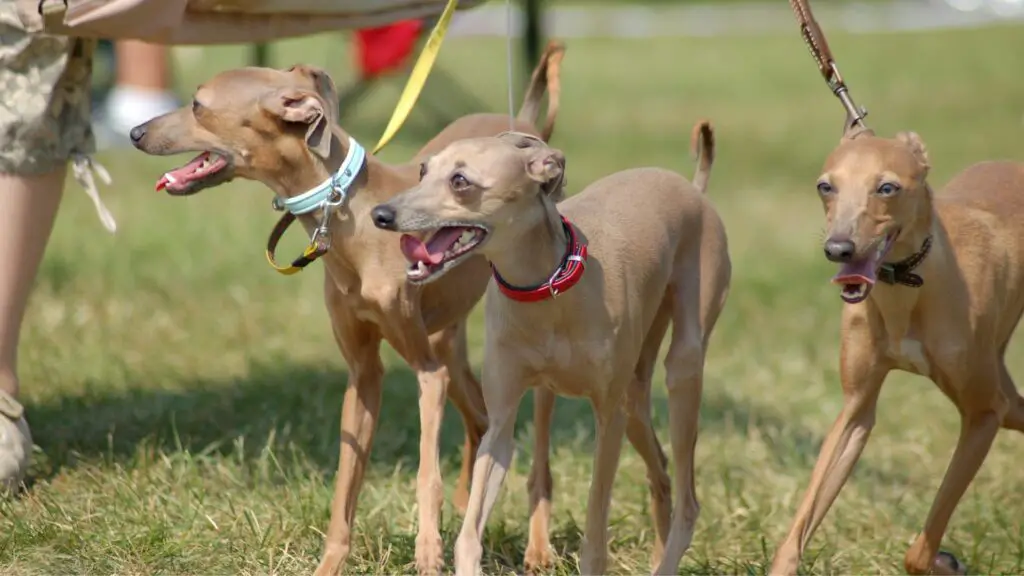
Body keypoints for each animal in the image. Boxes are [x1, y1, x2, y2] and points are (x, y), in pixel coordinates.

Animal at [129, 41, 569, 573]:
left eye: (197, 105)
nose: (134, 132)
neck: (352, 215)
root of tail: (523, 123)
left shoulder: (426, 372)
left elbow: (426, 474)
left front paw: (428, 552)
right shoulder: (363, 374)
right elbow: (345, 487)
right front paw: (331, 564)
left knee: (536, 453)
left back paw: (539, 549)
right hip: (451, 342)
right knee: (481, 419)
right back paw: (474, 504)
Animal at [372, 123, 733, 569]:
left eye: (460, 181)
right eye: (423, 170)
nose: (381, 214)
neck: (547, 287)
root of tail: (693, 189)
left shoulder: (608, 417)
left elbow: (595, 531)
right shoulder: (501, 421)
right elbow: (469, 532)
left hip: (681, 370)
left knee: (688, 499)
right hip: (631, 396)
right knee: (660, 470)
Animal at [770, 123, 1024, 569]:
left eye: (886, 187)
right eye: (825, 186)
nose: (838, 249)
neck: (911, 287)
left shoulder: (983, 414)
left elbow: (918, 552)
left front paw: (944, 561)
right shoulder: (856, 409)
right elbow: (798, 530)